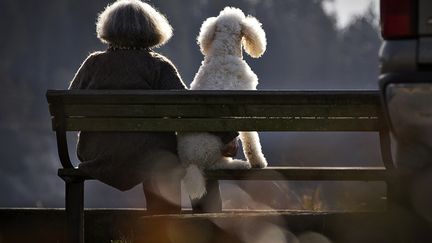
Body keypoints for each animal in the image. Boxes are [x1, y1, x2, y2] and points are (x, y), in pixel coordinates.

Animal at [178, 7, 266, 199]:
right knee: (215, 165)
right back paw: (238, 164)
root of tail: (190, 163)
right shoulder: (244, 110)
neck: (224, 53)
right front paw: (258, 162)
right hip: (213, 146)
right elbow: (251, 140)